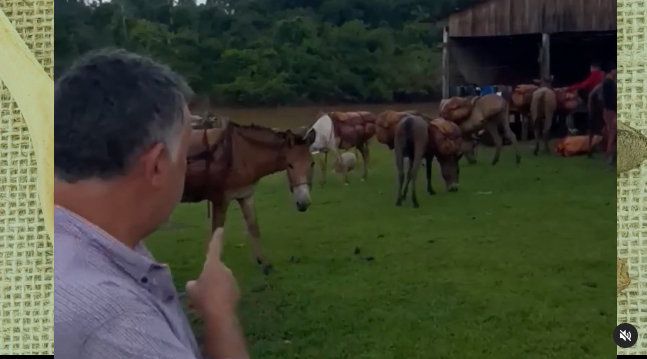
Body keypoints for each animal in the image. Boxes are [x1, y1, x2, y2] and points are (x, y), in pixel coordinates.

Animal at [182, 122, 316, 274]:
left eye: (312, 163)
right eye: (290, 165)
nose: (304, 203)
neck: (242, 155)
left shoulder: (246, 196)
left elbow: (254, 228)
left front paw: (264, 263)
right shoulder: (221, 201)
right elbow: (216, 236)